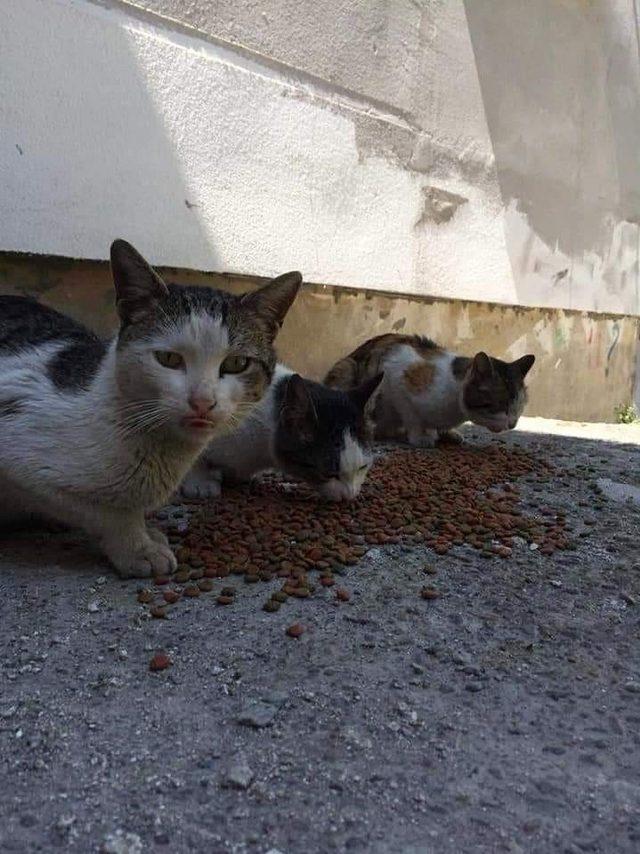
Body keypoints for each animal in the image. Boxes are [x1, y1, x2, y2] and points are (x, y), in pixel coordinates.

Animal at [0, 237, 302, 580]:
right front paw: (138, 547)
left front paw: (147, 535)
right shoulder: (19, 446)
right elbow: (107, 511)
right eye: (168, 359)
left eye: (237, 363)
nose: (202, 401)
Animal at [324, 334, 536, 448]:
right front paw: (420, 437)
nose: (513, 423)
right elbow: (412, 416)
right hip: (346, 368)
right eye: (502, 406)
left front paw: (448, 433)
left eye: (519, 407)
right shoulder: (396, 378)